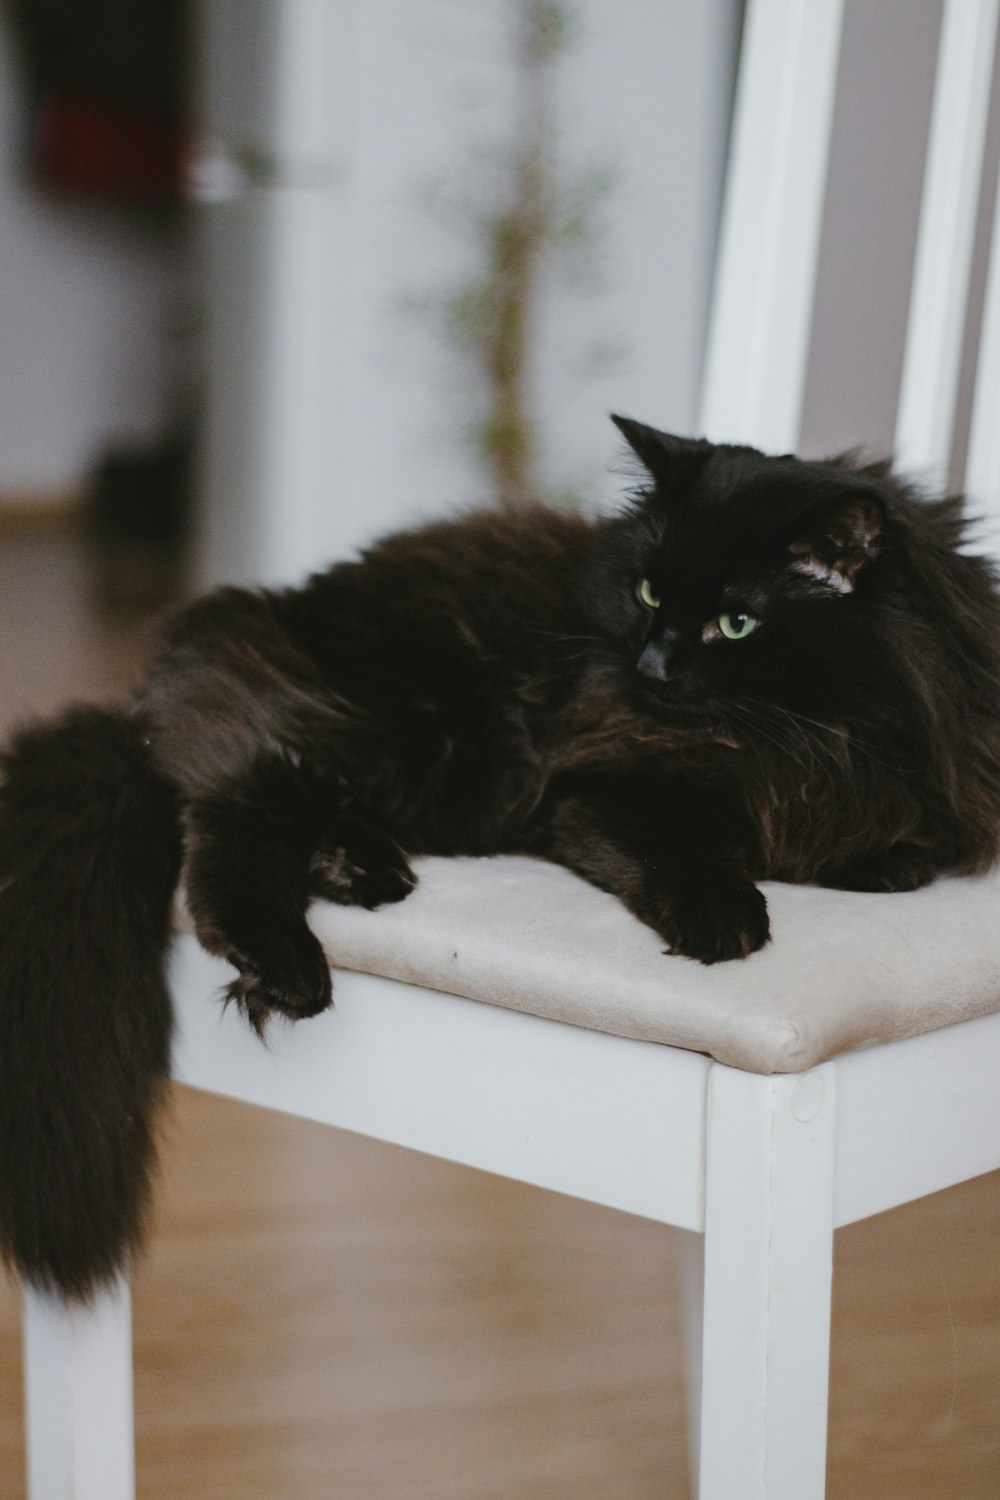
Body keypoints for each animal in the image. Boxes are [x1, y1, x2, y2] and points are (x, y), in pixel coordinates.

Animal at [1, 414, 1000, 1302]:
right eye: (648, 596)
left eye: (736, 624)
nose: (652, 665)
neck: (797, 735)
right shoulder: (594, 791)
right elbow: (689, 848)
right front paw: (725, 919)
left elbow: (898, 851)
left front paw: (865, 865)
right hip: (374, 737)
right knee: (227, 817)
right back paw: (289, 964)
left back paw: (359, 872)